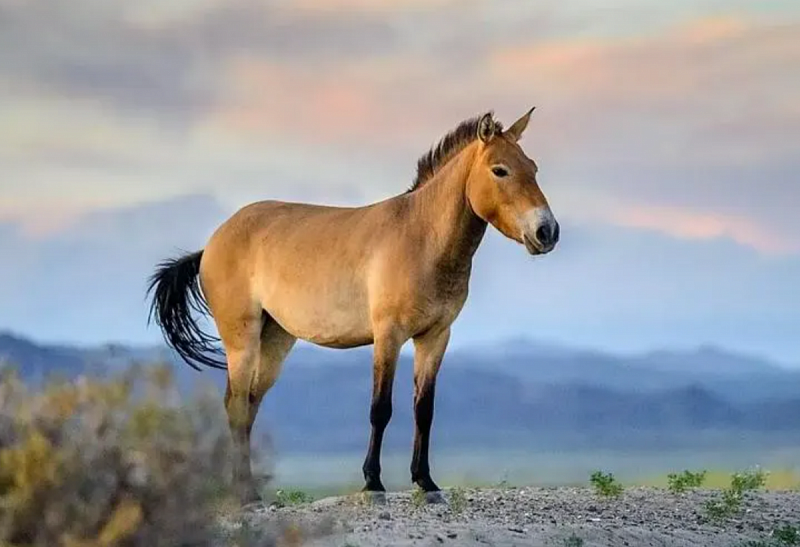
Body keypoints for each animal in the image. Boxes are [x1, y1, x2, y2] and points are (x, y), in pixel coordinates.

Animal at [148, 107, 564, 506]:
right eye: (500, 169)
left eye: (533, 168)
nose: (547, 232)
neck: (421, 238)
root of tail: (212, 243)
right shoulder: (388, 335)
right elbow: (381, 408)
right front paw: (373, 483)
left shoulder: (435, 337)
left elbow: (423, 410)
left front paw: (426, 483)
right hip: (242, 340)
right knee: (235, 405)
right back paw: (245, 496)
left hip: (276, 340)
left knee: (249, 405)